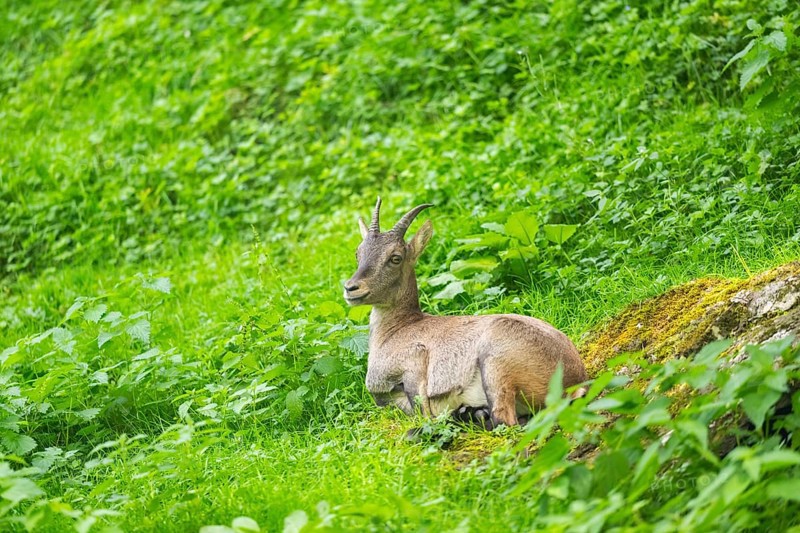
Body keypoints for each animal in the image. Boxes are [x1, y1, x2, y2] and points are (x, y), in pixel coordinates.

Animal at [343, 198, 588, 429]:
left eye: (395, 257)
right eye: (358, 253)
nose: (351, 287)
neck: (396, 331)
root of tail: (574, 381)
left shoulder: (415, 369)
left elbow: (426, 413)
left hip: (495, 364)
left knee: (506, 421)